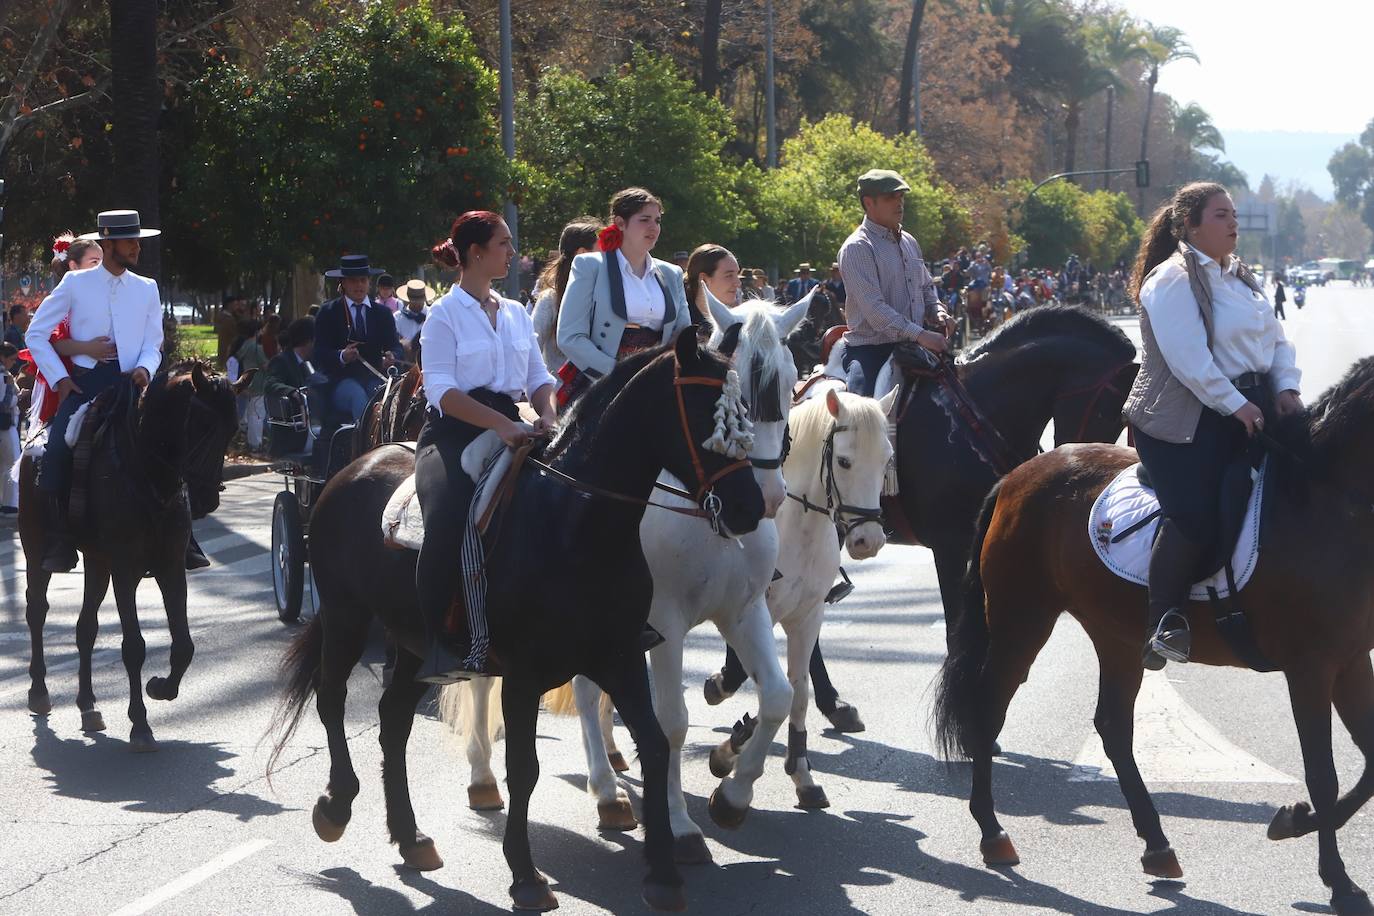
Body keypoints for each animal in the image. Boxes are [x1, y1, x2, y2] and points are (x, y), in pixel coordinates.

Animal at [21, 362, 240, 752]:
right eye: (200, 423)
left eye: (233, 429)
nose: (207, 500)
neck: (149, 472)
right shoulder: (125, 569)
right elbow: (134, 646)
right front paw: (140, 724)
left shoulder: (171, 566)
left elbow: (184, 645)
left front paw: (161, 688)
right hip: (35, 548)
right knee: (37, 612)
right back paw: (39, 690)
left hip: (97, 561)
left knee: (86, 628)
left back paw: (88, 705)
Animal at [267, 328, 763, 911]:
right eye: (708, 413)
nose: (752, 507)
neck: (575, 523)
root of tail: (351, 468)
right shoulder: (524, 676)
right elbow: (524, 770)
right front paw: (525, 876)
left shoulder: (619, 656)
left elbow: (658, 745)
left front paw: (663, 871)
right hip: (346, 615)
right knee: (332, 699)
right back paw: (336, 805)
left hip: (413, 644)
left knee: (392, 721)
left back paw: (410, 837)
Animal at [708, 304, 1137, 725]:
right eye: (1111, 408)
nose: (1080, 462)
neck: (973, 416)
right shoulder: (949, 546)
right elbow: (954, 629)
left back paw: (825, 700)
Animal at [939, 357, 1374, 916]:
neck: (1327, 499)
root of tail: (1015, 477)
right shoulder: (1310, 668)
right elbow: (1323, 775)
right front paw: (1336, 877)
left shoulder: (1351, 660)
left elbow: (1370, 764)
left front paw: (1296, 828)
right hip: (1022, 622)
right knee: (988, 713)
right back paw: (993, 834)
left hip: (1117, 637)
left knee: (1113, 727)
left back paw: (1158, 846)